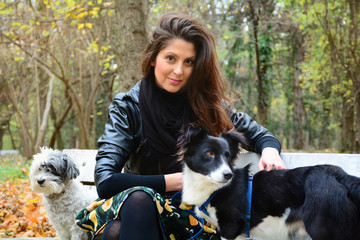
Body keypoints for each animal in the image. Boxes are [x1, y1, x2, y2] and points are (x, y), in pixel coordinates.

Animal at [179, 126, 360, 239]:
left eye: (228, 156)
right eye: (209, 154)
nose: (228, 175)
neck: (214, 189)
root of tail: (338, 174)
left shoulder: (231, 227)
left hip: (322, 228)